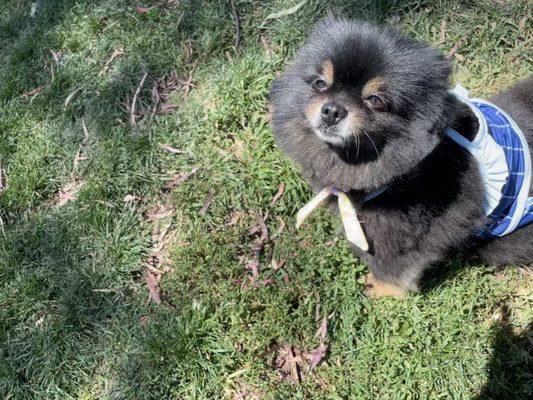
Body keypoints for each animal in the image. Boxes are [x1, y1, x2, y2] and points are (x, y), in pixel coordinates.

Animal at [270, 17, 532, 296]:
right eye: (320, 83)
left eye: (376, 99)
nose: (332, 110)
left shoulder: (423, 228)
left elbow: (398, 263)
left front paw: (382, 288)